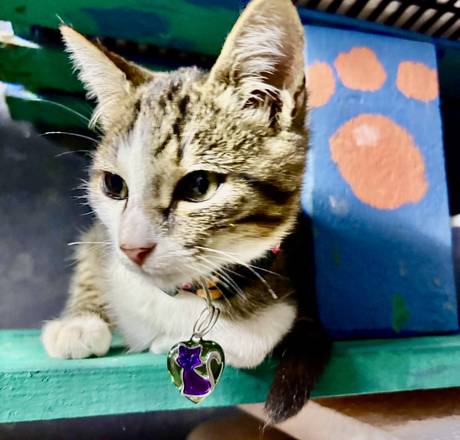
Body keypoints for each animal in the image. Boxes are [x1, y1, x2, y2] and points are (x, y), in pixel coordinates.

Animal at [41, 0, 331, 423]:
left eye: (198, 186)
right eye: (114, 185)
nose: (132, 248)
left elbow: (259, 333)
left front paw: (172, 340)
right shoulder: (101, 237)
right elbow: (90, 259)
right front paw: (78, 323)